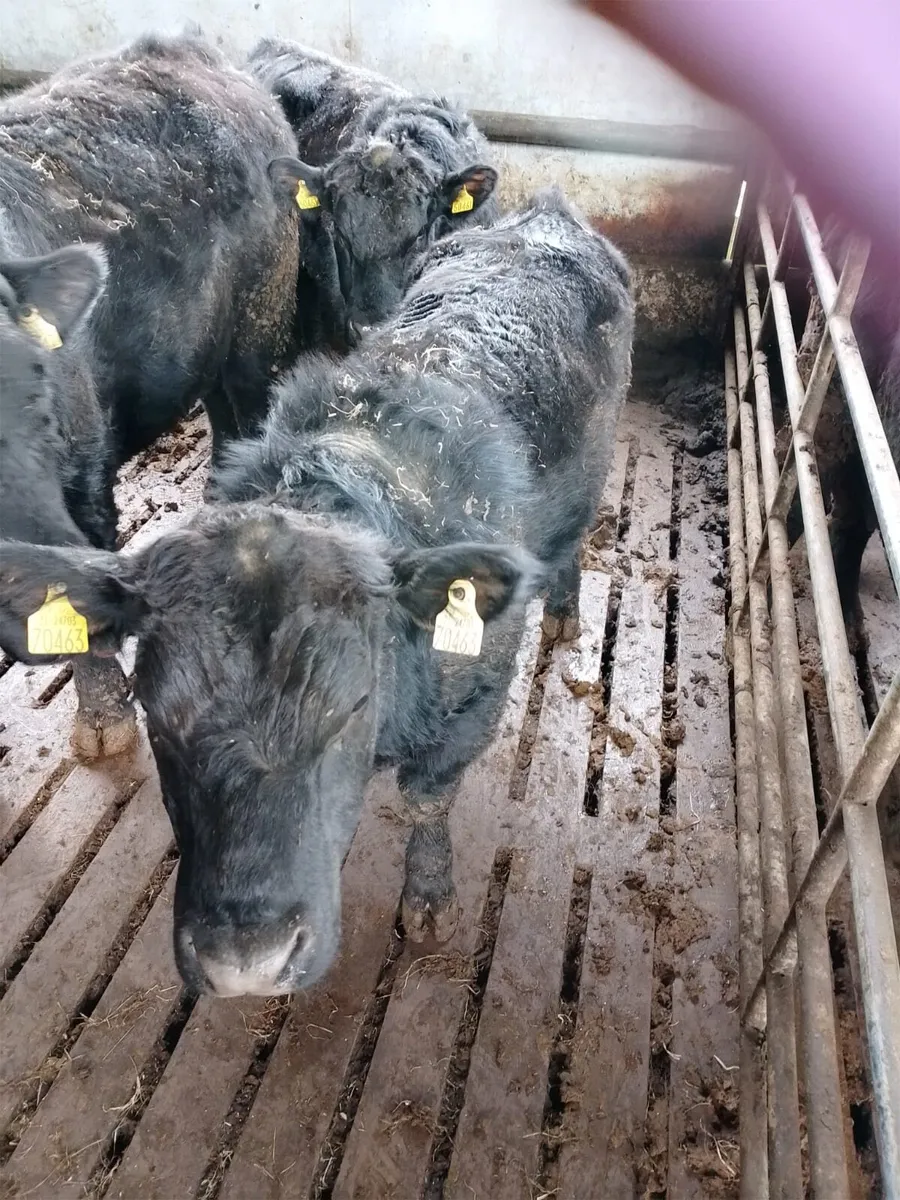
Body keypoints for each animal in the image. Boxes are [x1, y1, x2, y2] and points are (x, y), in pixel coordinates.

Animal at [0, 189, 634, 997]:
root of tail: (547, 213)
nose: (247, 962)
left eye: (354, 704)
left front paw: (430, 900)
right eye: (157, 712)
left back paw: (565, 613)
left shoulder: (474, 698)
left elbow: (429, 798)